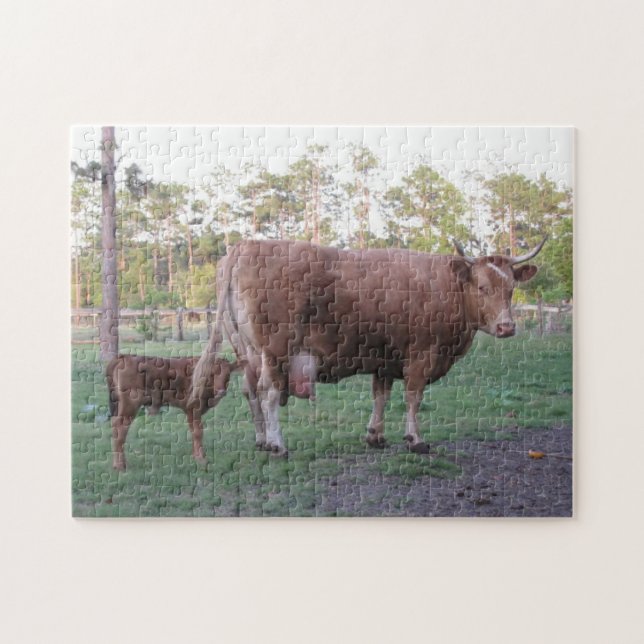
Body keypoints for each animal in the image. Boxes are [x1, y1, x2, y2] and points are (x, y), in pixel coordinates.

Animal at [106, 354, 243, 470]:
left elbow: (193, 432)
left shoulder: (189, 410)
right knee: (120, 429)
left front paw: (196, 456)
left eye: (228, 374)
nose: (221, 391)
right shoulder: (194, 407)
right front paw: (201, 459)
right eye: (213, 373)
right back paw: (119, 465)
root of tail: (124, 356)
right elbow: (198, 433)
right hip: (130, 404)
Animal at [191, 238, 545, 456]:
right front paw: (415, 439)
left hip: (247, 353)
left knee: (250, 392)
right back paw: (278, 444)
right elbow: (413, 398)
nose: (506, 327)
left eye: (511, 288)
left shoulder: (385, 360)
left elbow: (381, 397)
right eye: (482, 287)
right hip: (275, 353)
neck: (447, 287)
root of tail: (245, 245)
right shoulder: (421, 356)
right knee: (268, 394)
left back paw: (263, 440)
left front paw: (375, 435)